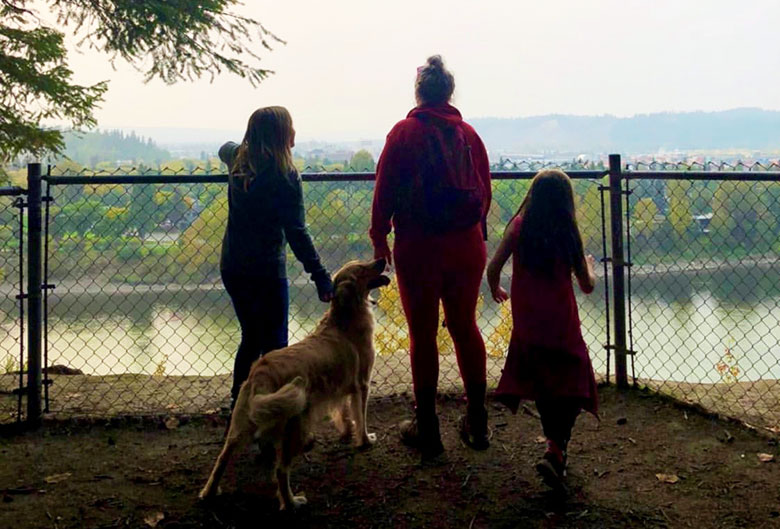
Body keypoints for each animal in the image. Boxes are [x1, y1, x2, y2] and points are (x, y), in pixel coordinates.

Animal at [200, 258, 390, 510]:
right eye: (361, 268)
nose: (382, 259)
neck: (344, 318)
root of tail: (261, 371)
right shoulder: (362, 385)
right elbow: (361, 417)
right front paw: (365, 440)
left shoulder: (341, 386)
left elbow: (343, 412)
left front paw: (347, 431)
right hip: (294, 426)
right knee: (281, 470)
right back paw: (292, 502)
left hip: (241, 423)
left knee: (222, 458)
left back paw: (209, 492)